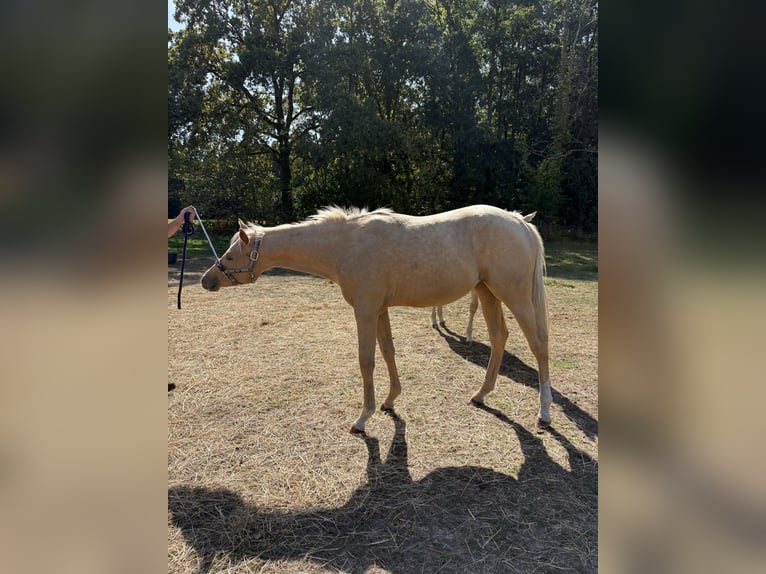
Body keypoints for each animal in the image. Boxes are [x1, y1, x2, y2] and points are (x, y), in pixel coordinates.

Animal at [201, 205, 551, 434]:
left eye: (230, 255)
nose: (206, 280)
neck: (345, 244)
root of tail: (519, 221)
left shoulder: (365, 309)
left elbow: (366, 360)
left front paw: (363, 418)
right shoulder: (380, 308)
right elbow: (387, 351)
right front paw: (390, 400)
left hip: (515, 297)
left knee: (538, 344)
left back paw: (544, 412)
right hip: (487, 292)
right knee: (499, 337)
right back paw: (481, 394)